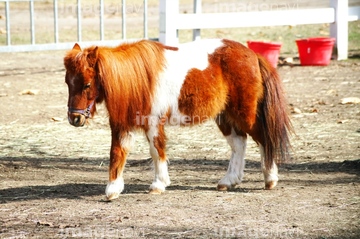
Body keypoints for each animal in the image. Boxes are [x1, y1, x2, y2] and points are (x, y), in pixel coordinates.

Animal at [64, 39, 292, 200]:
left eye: (87, 84)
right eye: (68, 82)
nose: (75, 118)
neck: (140, 79)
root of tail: (252, 54)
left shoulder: (153, 123)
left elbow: (156, 151)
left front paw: (159, 184)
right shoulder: (122, 124)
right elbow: (117, 153)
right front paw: (113, 189)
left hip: (245, 114)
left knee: (263, 139)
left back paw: (270, 179)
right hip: (225, 117)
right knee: (239, 144)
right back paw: (228, 181)